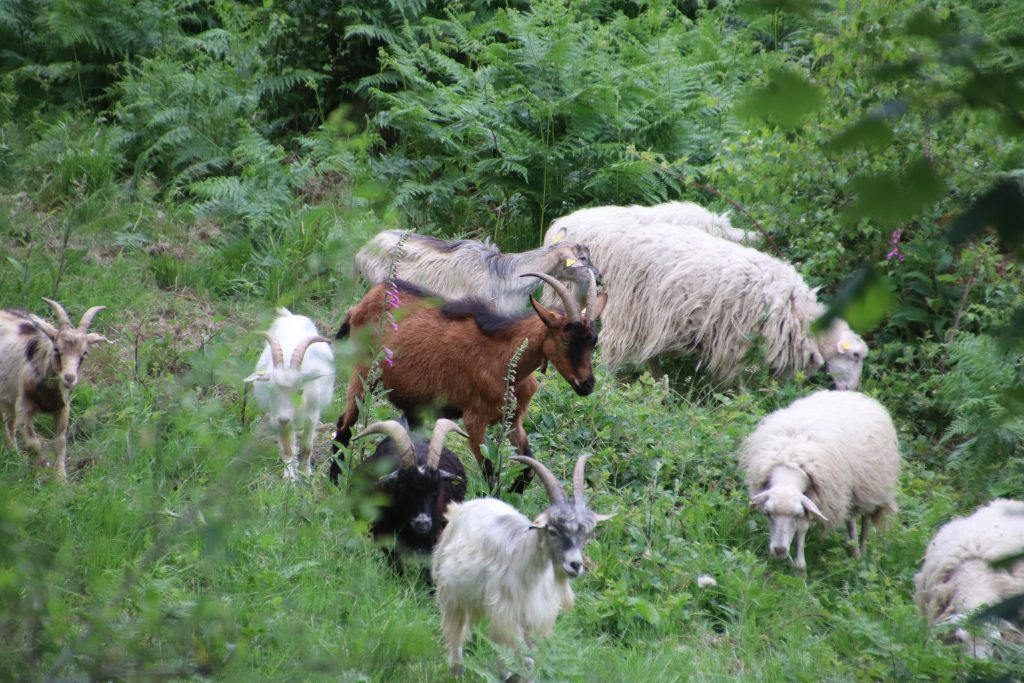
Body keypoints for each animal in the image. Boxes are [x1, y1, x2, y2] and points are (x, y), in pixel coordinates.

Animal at [0, 298, 111, 481]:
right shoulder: (23, 406)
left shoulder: (63, 408)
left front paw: (61, 478)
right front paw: (40, 469)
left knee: (9, 424)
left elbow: (60, 442)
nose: (70, 377)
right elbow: (34, 443)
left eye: (84, 353)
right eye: (57, 349)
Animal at [244, 308, 334, 480]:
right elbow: (288, 449)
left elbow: (306, 446)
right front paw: (290, 478)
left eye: (300, 391)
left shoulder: (312, 413)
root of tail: (290, 317)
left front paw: (306, 474)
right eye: (270, 389)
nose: (284, 418)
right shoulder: (278, 417)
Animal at [330, 272, 606, 492]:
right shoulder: (475, 420)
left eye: (593, 341)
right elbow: (489, 473)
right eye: (566, 340)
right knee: (344, 424)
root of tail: (362, 304)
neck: (505, 358)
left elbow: (528, 466)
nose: (587, 384)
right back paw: (334, 483)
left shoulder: (512, 420)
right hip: (362, 376)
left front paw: (515, 496)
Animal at [350, 419, 468, 573]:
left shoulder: (434, 535)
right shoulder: (384, 534)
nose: (422, 524)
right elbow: (396, 565)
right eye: (405, 490)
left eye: (436, 491)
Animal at [431, 453, 611, 678]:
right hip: (452, 592)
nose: (575, 565)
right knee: (456, 632)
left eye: (584, 534)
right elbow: (516, 655)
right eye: (552, 531)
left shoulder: (536, 617)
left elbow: (529, 657)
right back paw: (457, 670)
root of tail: (462, 508)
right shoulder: (507, 613)